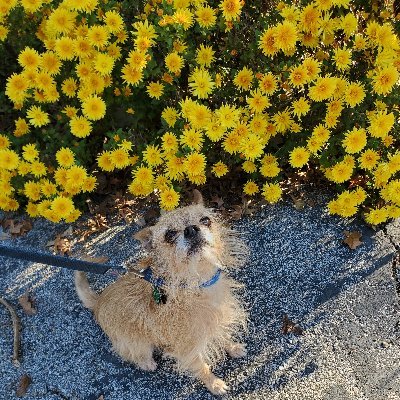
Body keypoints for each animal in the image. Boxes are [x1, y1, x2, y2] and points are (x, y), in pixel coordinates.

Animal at [74, 191, 248, 394]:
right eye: (169, 234)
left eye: (205, 220)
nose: (191, 229)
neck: (195, 283)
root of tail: (98, 301)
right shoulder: (186, 347)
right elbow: (201, 367)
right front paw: (214, 384)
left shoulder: (218, 317)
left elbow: (224, 334)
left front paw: (233, 347)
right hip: (136, 343)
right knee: (130, 353)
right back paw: (146, 362)